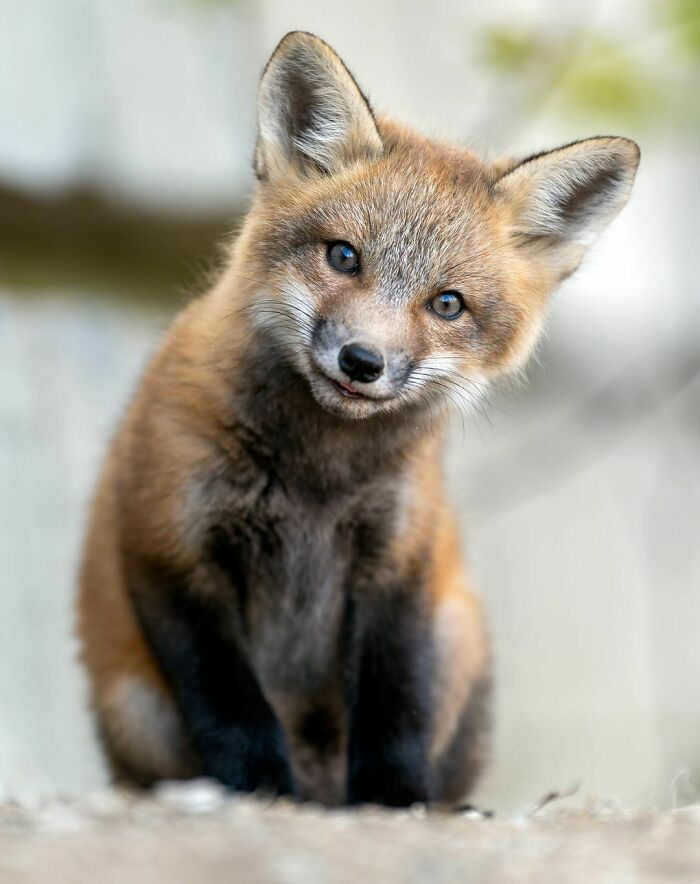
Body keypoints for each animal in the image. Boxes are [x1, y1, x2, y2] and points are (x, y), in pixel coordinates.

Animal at [77, 31, 639, 808]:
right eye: (344, 256)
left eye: (447, 304)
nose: (362, 360)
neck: (317, 481)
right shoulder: (173, 551)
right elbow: (232, 708)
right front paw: (260, 788)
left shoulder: (397, 562)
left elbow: (394, 706)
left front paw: (395, 799)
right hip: (136, 704)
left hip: (457, 630)